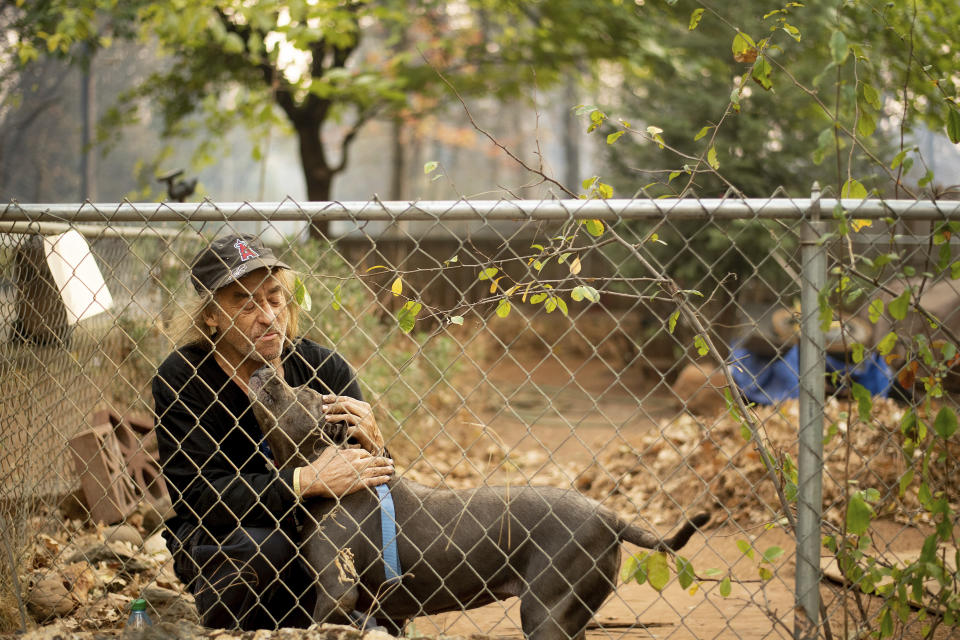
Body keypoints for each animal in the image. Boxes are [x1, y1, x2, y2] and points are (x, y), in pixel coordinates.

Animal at [251, 364, 708, 640]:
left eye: (303, 392)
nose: (264, 368)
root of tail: (610, 516)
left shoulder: (335, 596)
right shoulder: (386, 612)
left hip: (545, 611)